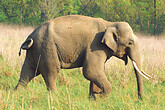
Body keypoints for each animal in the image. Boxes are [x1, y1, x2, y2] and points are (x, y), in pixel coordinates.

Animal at [15, 15, 151, 100]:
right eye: (130, 43)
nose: (140, 99)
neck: (109, 23)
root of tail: (31, 35)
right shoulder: (95, 45)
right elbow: (91, 71)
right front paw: (100, 96)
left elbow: (97, 71)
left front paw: (94, 98)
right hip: (47, 49)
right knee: (51, 73)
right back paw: (55, 96)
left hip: (36, 51)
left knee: (28, 71)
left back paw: (17, 93)